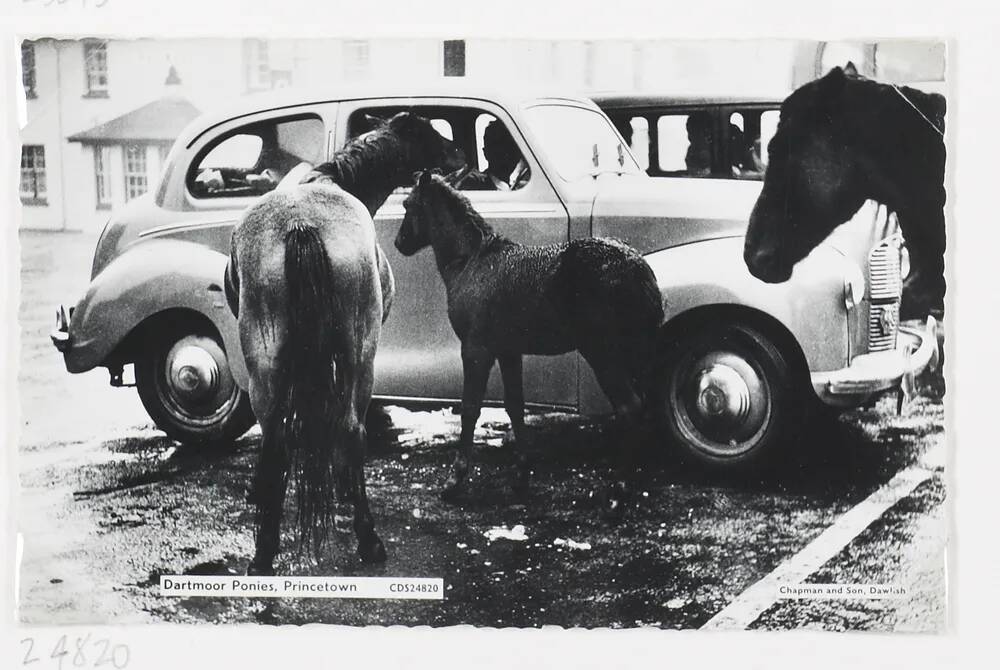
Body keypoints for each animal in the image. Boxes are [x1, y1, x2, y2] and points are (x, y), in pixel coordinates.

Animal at [225, 113, 466, 576]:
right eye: (430, 132)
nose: (461, 154)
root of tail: (300, 224)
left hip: (266, 363)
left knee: (276, 439)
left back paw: (264, 550)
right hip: (360, 352)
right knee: (350, 429)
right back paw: (367, 538)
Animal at [392, 171, 664, 516]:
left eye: (408, 204)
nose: (400, 243)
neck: (473, 262)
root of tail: (640, 270)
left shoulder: (476, 350)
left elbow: (470, 409)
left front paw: (455, 480)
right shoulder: (509, 352)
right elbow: (515, 406)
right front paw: (521, 476)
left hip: (604, 354)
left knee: (630, 408)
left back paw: (618, 491)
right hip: (634, 353)